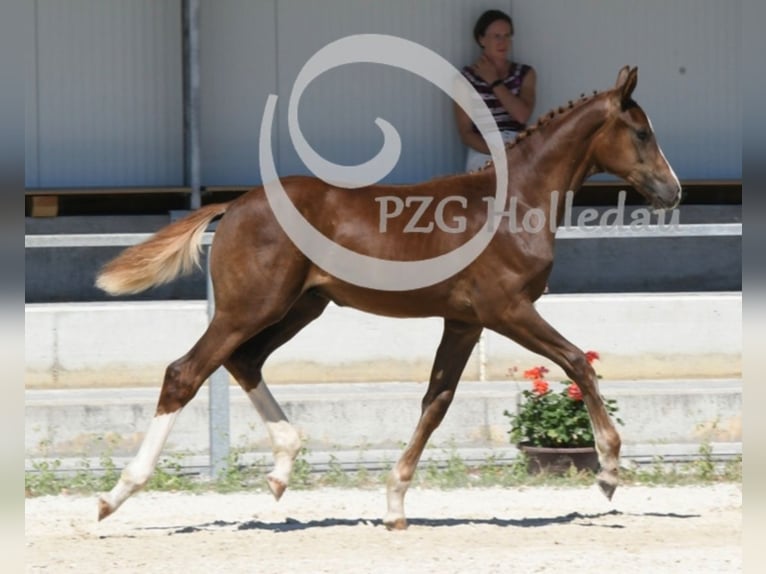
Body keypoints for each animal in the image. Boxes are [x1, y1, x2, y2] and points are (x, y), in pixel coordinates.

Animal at [95, 66, 680, 529]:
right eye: (641, 132)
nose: (674, 191)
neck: (513, 203)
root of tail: (234, 205)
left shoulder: (464, 321)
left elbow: (436, 400)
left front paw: (395, 501)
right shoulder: (508, 310)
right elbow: (578, 362)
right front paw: (608, 471)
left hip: (299, 307)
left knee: (244, 361)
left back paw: (282, 469)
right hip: (251, 307)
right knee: (186, 372)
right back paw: (117, 494)